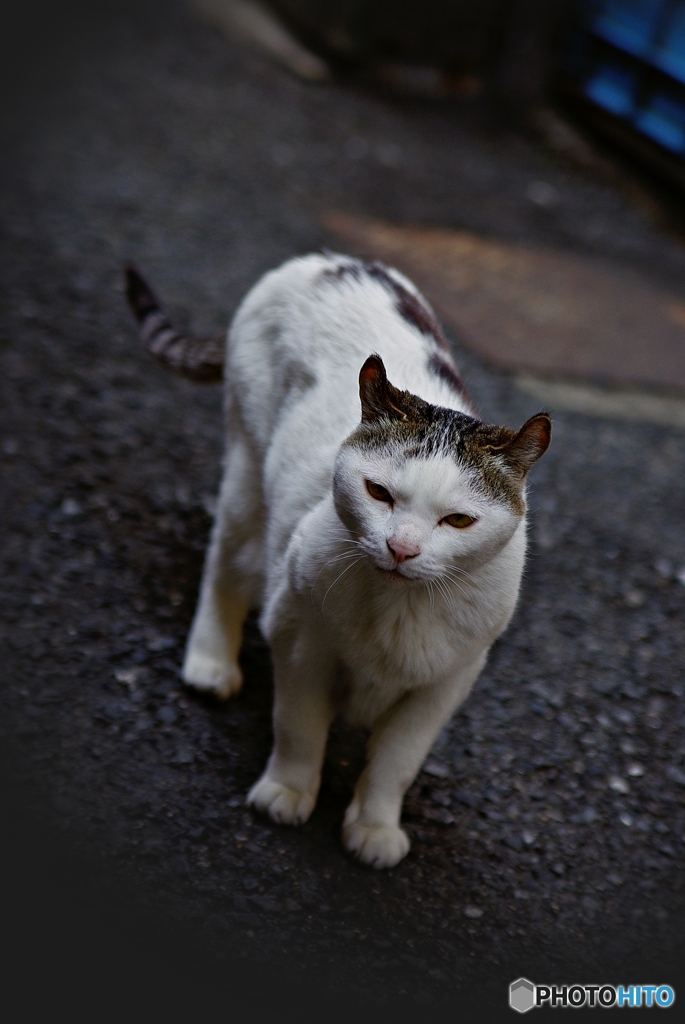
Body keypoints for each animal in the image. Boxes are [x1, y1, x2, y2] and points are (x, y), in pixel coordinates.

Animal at [124, 251, 548, 868]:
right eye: (379, 493)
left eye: (457, 521)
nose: (402, 548)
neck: (400, 609)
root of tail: (324, 260)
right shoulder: (300, 639)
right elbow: (299, 726)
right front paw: (288, 791)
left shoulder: (448, 681)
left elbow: (398, 760)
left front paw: (374, 826)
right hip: (248, 476)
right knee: (225, 562)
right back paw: (211, 660)